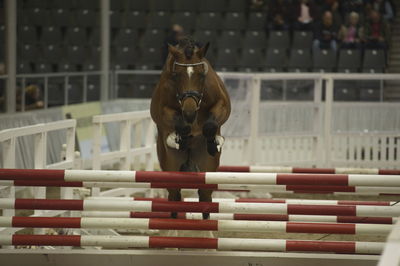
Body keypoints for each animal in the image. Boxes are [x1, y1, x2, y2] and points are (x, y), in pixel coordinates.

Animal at [150, 38, 231, 220]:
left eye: (201, 75)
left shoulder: (222, 104)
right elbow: (182, 125)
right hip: (171, 166)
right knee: (174, 196)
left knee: (205, 197)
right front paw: (180, 138)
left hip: (207, 168)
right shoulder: (162, 110)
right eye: (176, 75)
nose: (189, 112)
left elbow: (210, 125)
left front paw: (213, 143)